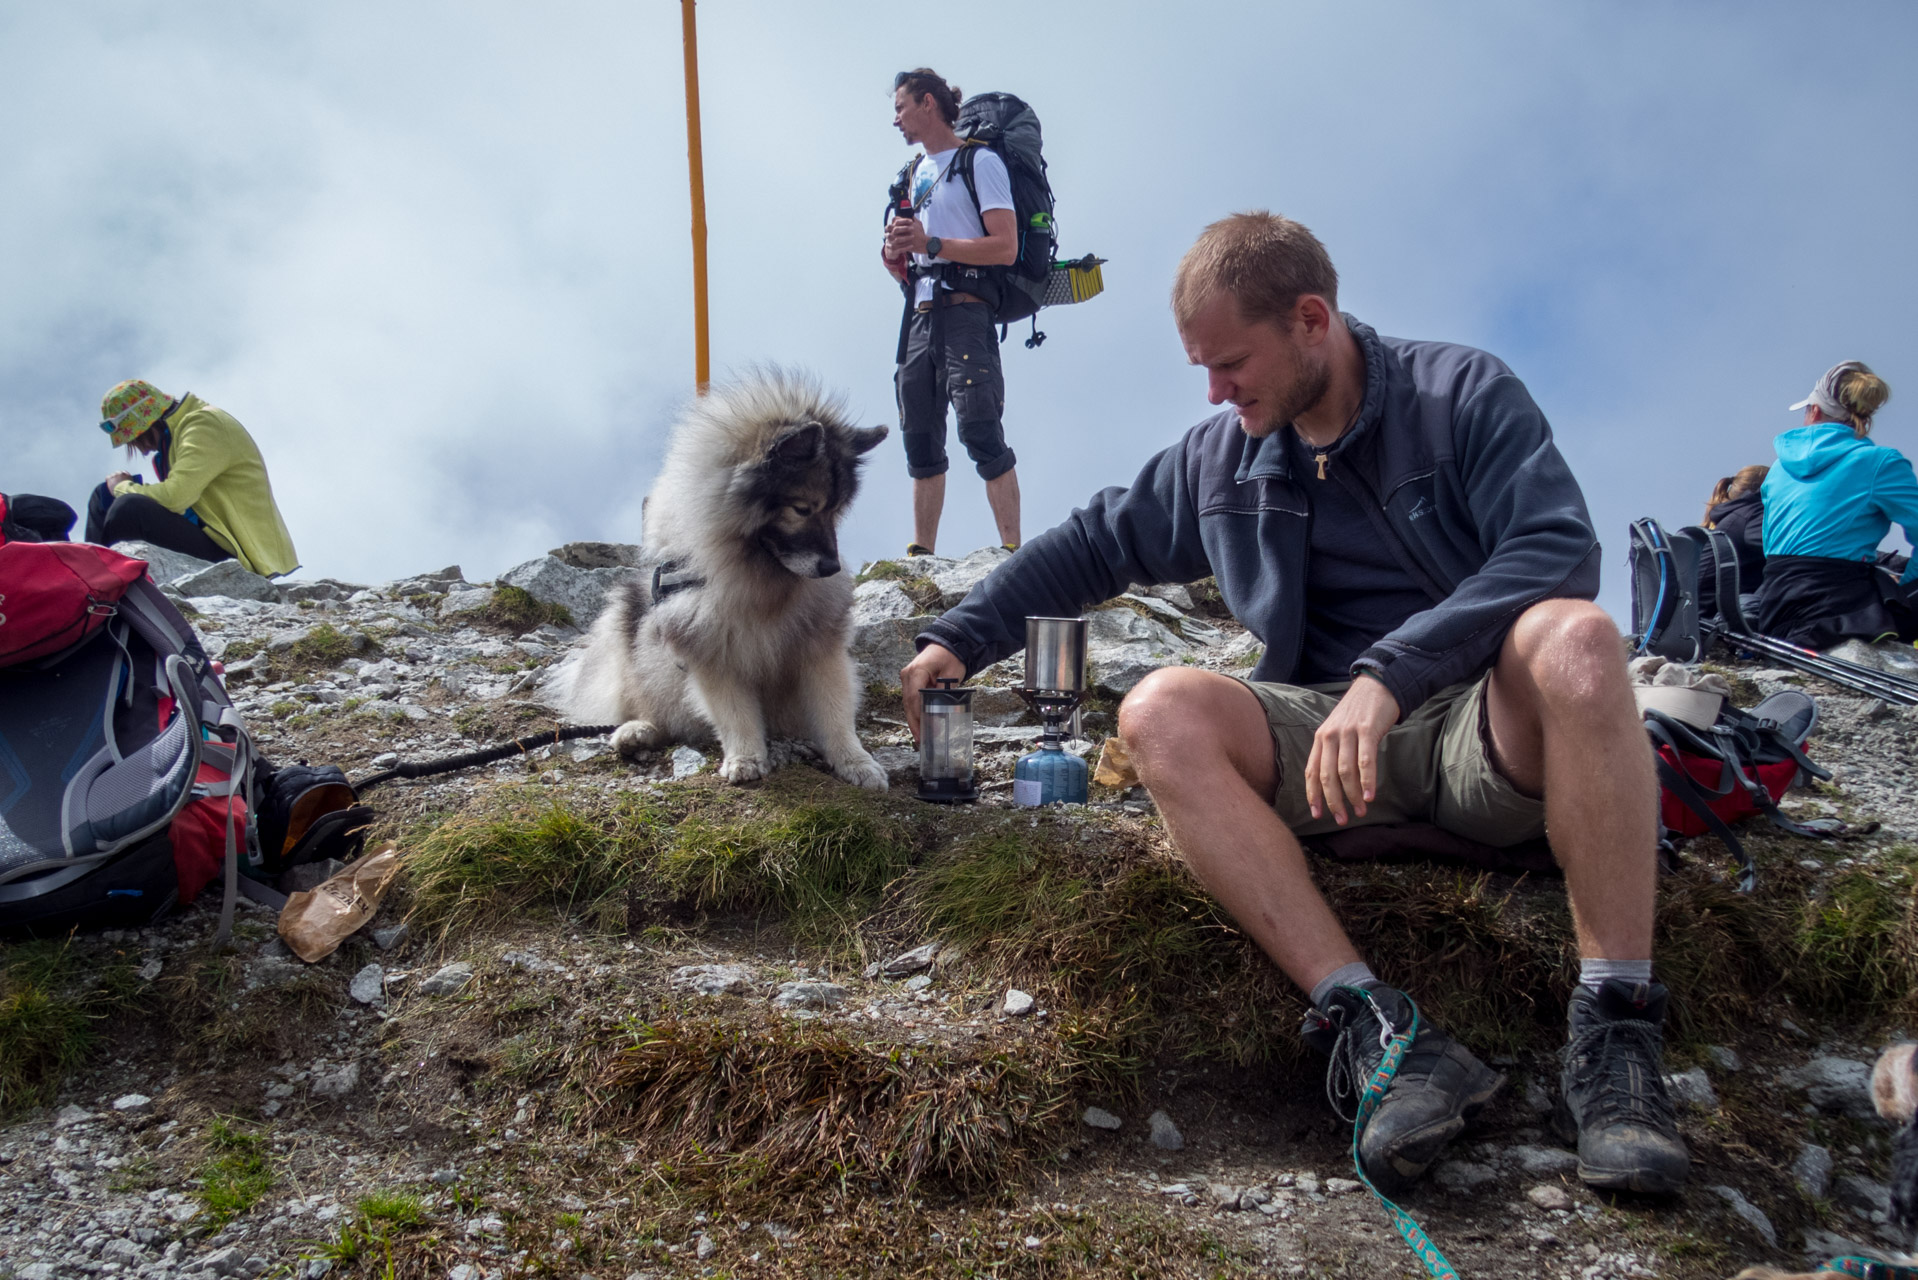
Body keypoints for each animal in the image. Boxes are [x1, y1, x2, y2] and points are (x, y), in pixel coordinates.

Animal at [552, 370, 886, 786]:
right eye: (802, 508)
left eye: (836, 510)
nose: (830, 568)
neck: (753, 576)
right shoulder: (709, 650)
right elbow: (734, 714)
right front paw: (746, 758)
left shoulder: (819, 648)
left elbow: (835, 713)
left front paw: (855, 762)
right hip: (627, 622)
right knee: (652, 707)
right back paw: (638, 730)